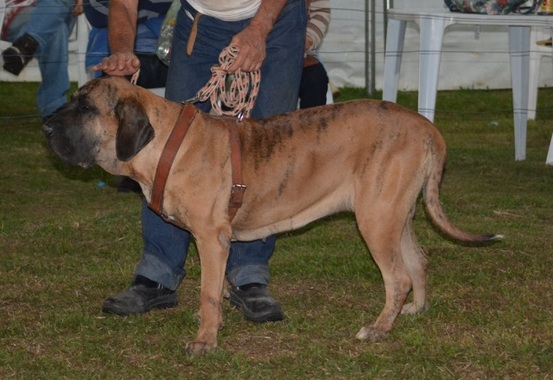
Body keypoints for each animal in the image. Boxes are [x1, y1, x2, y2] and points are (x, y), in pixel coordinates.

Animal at [44, 75, 500, 354]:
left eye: (86, 108)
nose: (46, 126)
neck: (167, 144)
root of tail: (427, 127)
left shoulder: (211, 238)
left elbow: (209, 292)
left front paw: (205, 340)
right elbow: (217, 288)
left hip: (376, 219)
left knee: (399, 277)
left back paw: (378, 328)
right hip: (394, 216)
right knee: (418, 261)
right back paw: (414, 311)